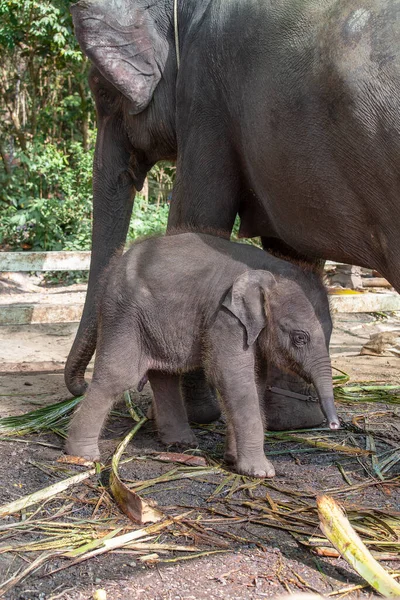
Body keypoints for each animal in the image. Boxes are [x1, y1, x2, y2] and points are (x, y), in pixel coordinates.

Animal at [65, 0, 400, 432]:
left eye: (103, 91)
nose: (77, 386)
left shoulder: (205, 97)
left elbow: (196, 215)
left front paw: (188, 415)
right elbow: (290, 256)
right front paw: (293, 422)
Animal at [66, 232, 338, 476]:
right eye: (300, 338)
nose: (334, 425)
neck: (270, 270)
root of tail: (113, 268)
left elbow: (255, 381)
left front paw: (233, 459)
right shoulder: (225, 318)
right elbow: (232, 378)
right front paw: (261, 472)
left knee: (165, 374)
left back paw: (180, 443)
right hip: (124, 314)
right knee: (119, 376)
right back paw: (83, 456)